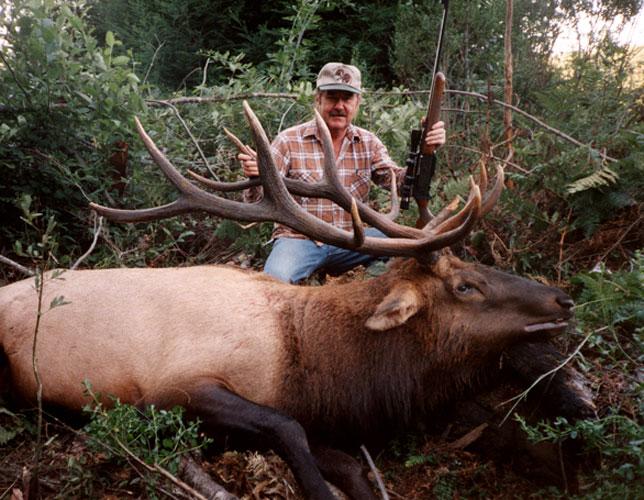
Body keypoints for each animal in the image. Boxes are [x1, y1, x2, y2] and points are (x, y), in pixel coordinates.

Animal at [0, 102, 572, 500]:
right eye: (465, 286)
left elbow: (350, 466)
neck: (313, 368)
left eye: (476, 264)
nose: (562, 299)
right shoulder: (168, 389)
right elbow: (286, 429)